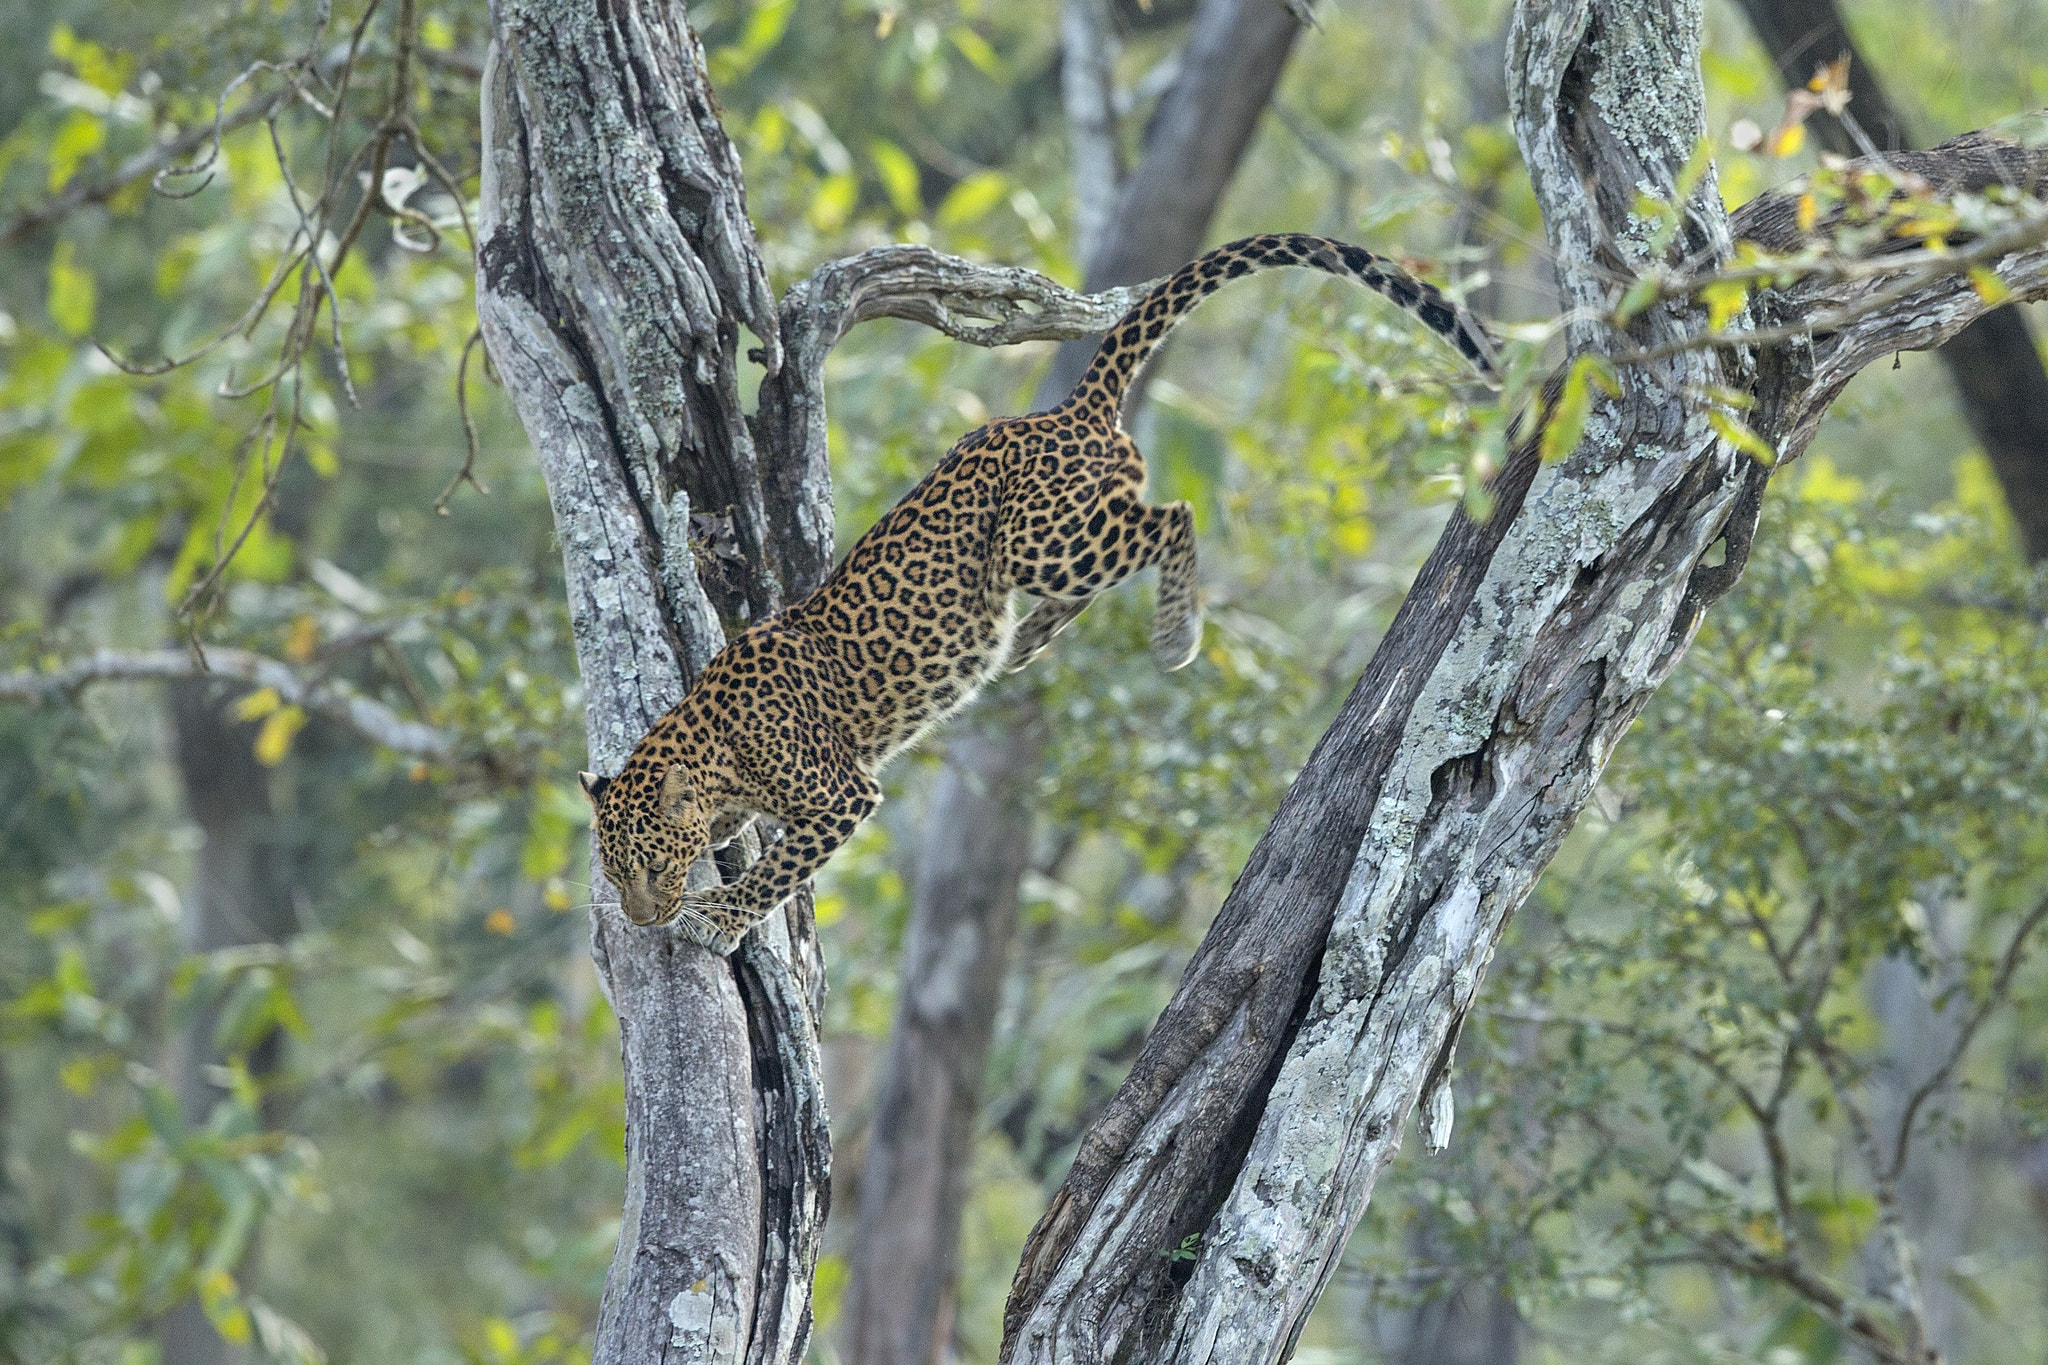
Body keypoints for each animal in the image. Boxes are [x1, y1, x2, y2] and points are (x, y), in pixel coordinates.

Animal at [581, 229, 1507, 957]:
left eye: (653, 866)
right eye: (616, 873)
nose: (643, 920)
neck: (712, 741)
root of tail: (1065, 411)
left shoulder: (843, 794)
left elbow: (778, 866)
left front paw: (716, 917)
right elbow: (744, 834)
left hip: (1046, 541)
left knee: (1172, 516)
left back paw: (1174, 635)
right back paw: (1024, 643)